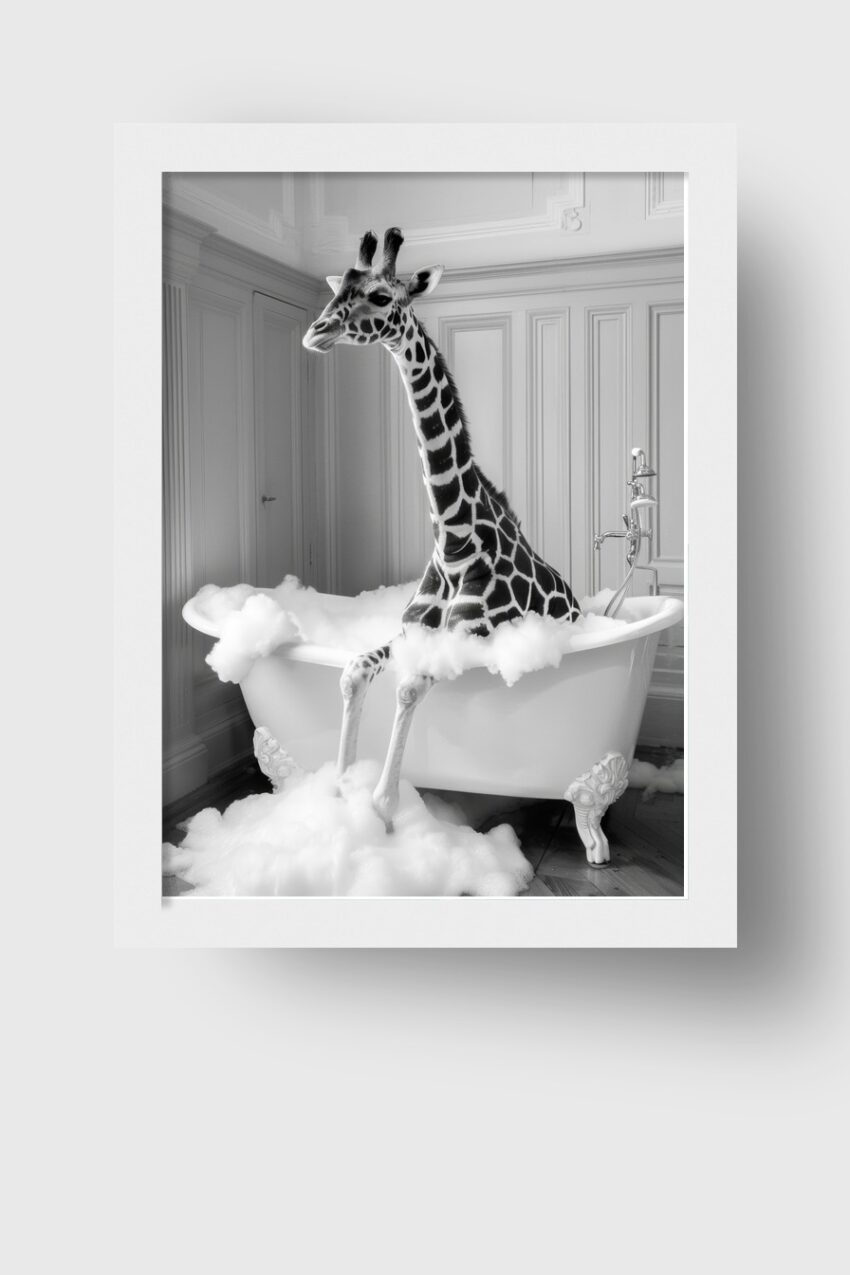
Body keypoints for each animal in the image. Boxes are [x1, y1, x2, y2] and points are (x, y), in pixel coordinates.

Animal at [303, 228, 581, 830]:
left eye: (382, 296)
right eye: (339, 290)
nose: (316, 331)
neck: (455, 537)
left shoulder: (467, 638)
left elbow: (408, 688)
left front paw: (382, 809)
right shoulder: (412, 633)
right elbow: (352, 671)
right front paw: (337, 788)